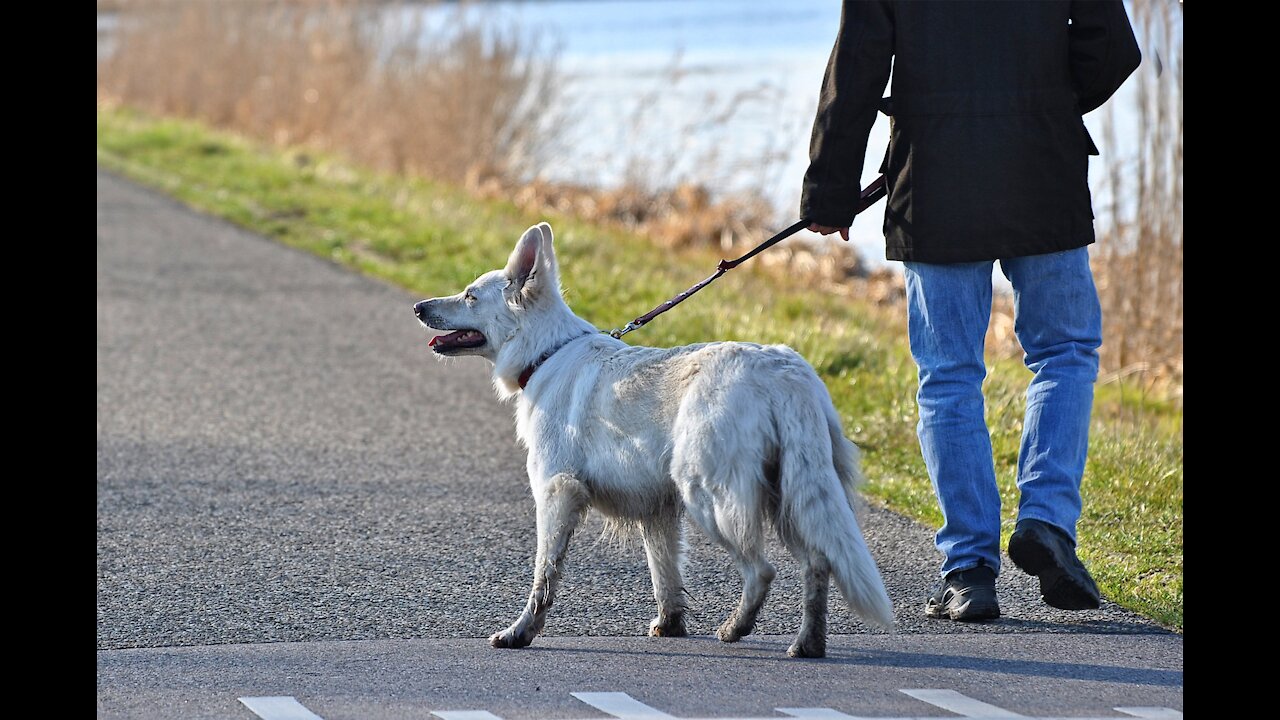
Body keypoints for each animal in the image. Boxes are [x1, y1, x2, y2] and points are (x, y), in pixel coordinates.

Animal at [414, 221, 896, 653]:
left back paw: (736, 628)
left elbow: (544, 576)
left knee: (762, 570)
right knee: (818, 563)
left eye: (470, 295)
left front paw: (521, 633)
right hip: (791, 495)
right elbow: (665, 574)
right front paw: (670, 625)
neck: (546, 352)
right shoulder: (657, 510)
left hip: (710, 496)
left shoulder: (556, 493)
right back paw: (807, 643)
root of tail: (785, 372)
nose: (418, 307)